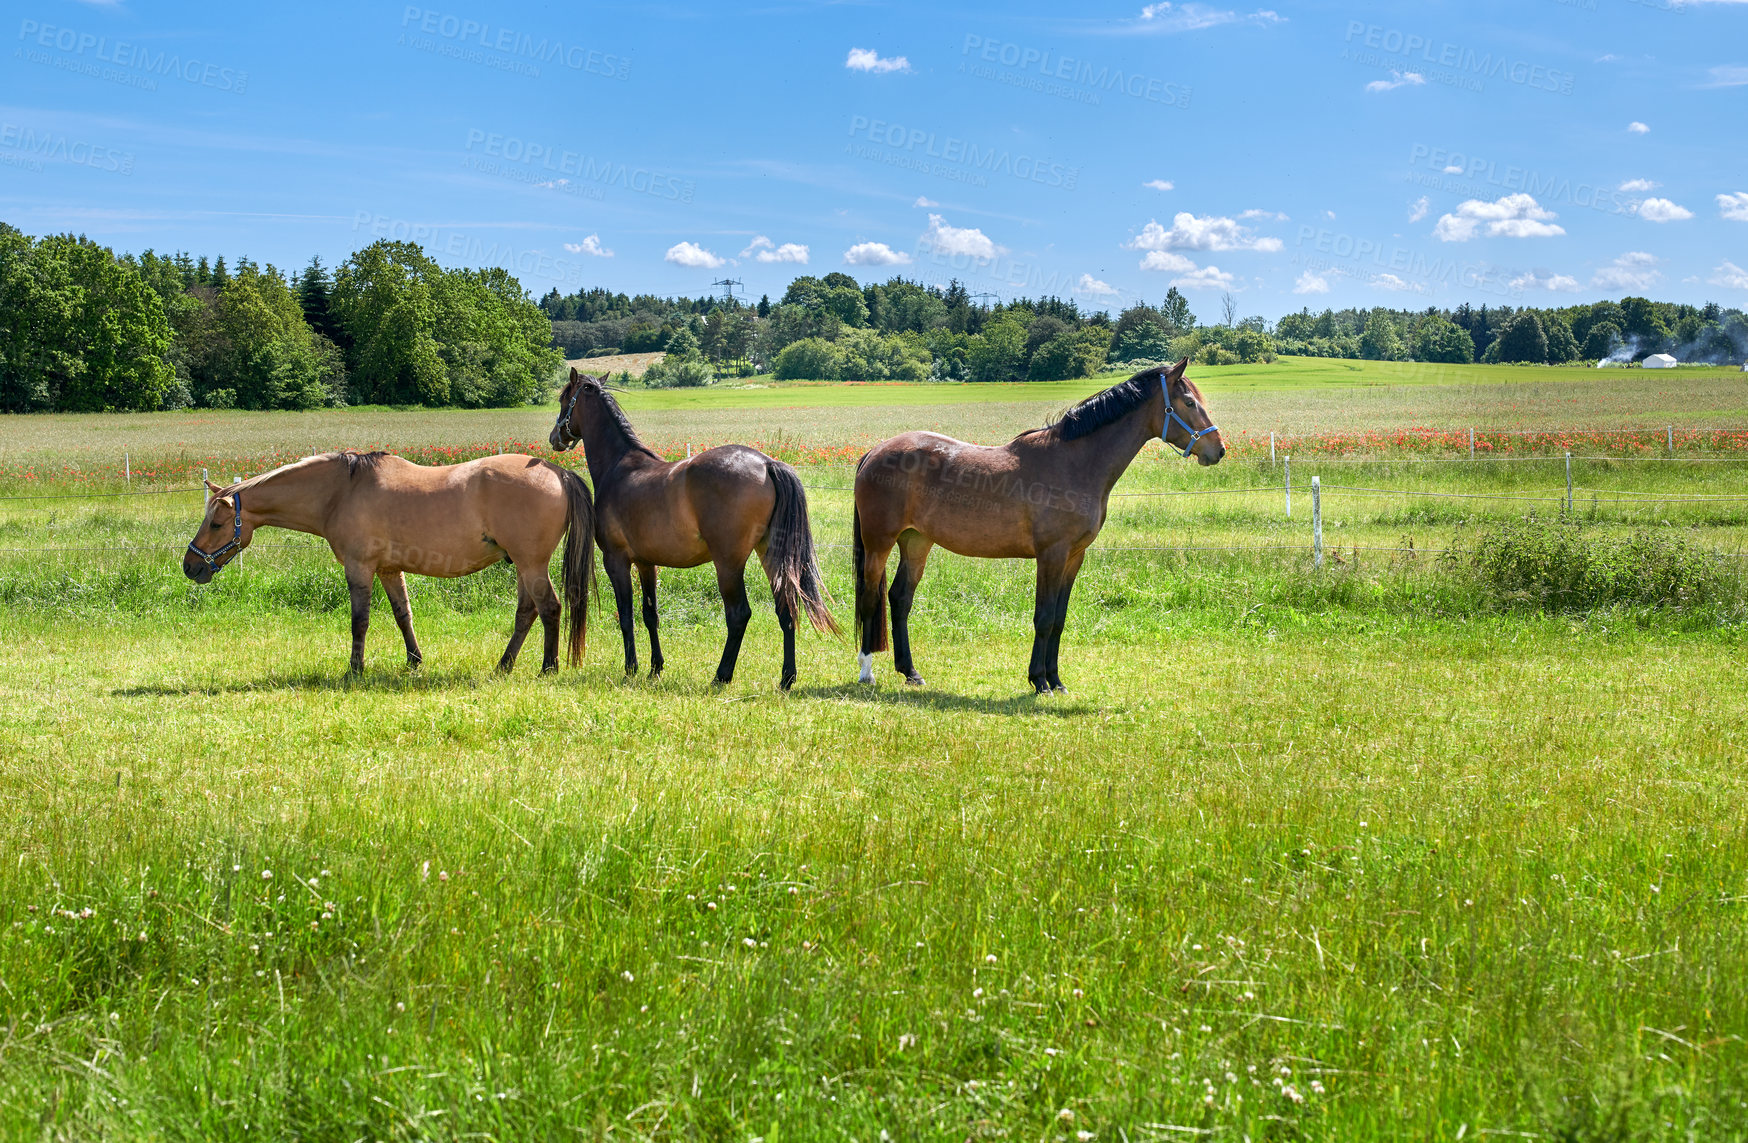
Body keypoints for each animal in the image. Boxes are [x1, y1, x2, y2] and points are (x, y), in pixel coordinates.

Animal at [180, 450, 594, 681]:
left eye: (216, 524)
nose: (190, 565)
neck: (340, 492)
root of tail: (558, 472)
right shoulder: (389, 570)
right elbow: (402, 615)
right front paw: (414, 662)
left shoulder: (360, 568)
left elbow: (359, 620)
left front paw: (354, 670)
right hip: (523, 566)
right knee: (527, 612)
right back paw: (504, 666)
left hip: (531, 564)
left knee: (549, 608)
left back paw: (548, 667)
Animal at [552, 372, 839, 688]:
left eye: (564, 399)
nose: (555, 438)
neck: (620, 467)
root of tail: (767, 463)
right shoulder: (646, 563)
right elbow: (650, 614)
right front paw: (655, 667)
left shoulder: (616, 561)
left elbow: (626, 616)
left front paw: (631, 668)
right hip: (770, 555)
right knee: (786, 608)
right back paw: (787, 677)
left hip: (728, 563)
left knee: (738, 614)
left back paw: (721, 676)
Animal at [853, 363, 1223, 695]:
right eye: (1189, 402)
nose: (1217, 450)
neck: (1074, 463)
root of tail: (875, 451)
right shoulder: (1051, 555)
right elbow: (1043, 618)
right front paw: (1039, 682)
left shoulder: (1074, 557)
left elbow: (1058, 619)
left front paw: (1056, 681)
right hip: (879, 544)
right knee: (870, 598)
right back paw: (866, 672)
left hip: (916, 542)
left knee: (900, 599)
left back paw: (911, 672)